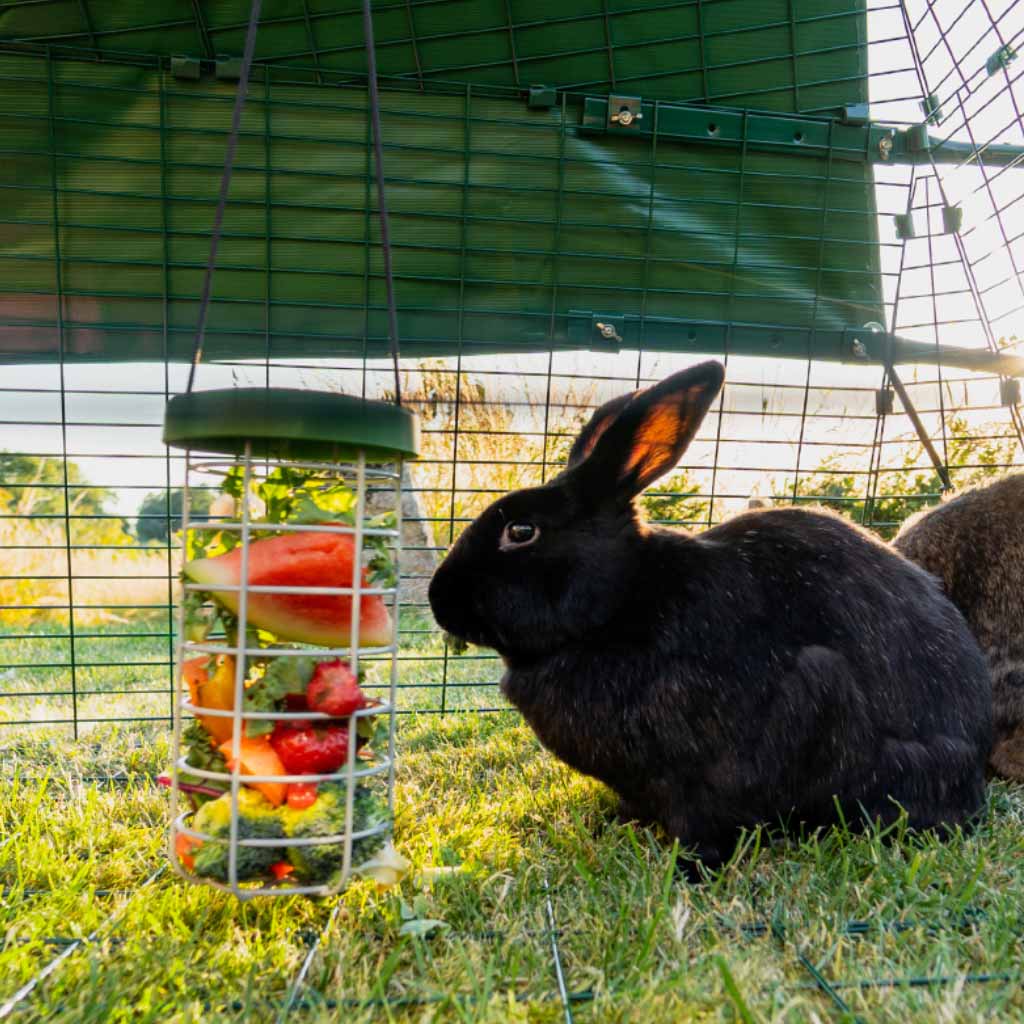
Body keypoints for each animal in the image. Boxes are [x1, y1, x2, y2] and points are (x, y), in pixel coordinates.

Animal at [428, 361, 992, 876]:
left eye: (522, 532)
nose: (438, 599)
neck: (619, 603)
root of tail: (973, 766)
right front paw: (616, 822)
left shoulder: (707, 776)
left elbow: (707, 822)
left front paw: (689, 869)